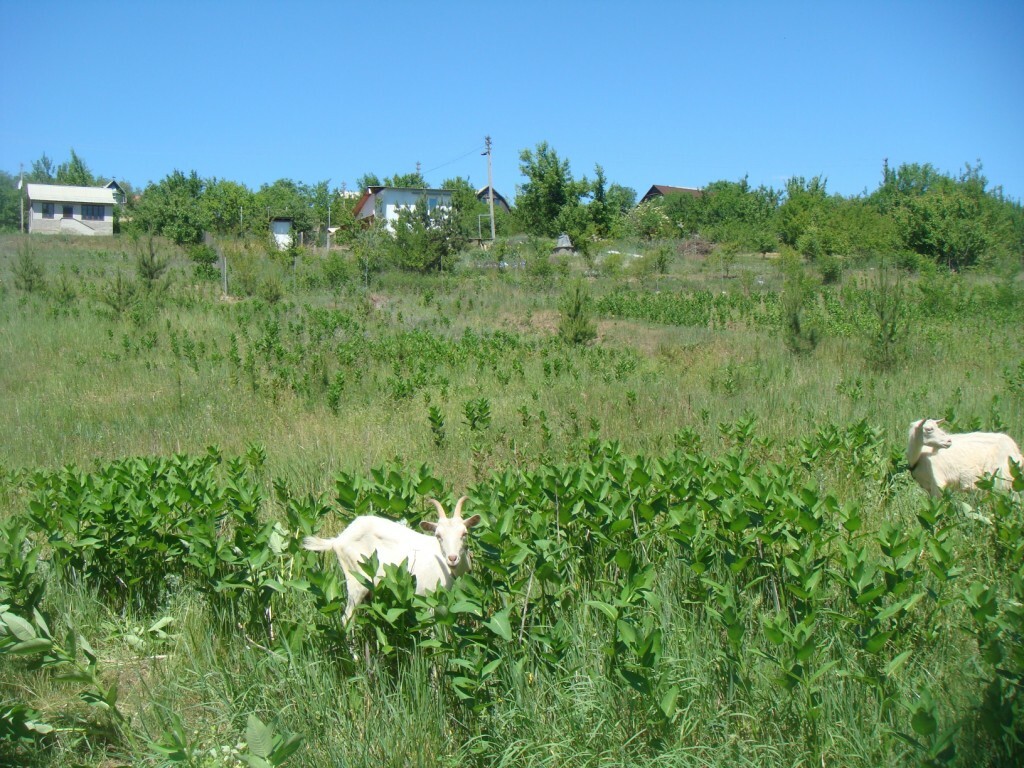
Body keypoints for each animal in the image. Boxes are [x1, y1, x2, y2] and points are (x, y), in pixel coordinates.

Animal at [301, 499, 481, 626]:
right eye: (438, 535)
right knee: (346, 619)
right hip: (356, 581)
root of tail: (338, 540)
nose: (452, 558)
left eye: (464, 533)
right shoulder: (429, 598)